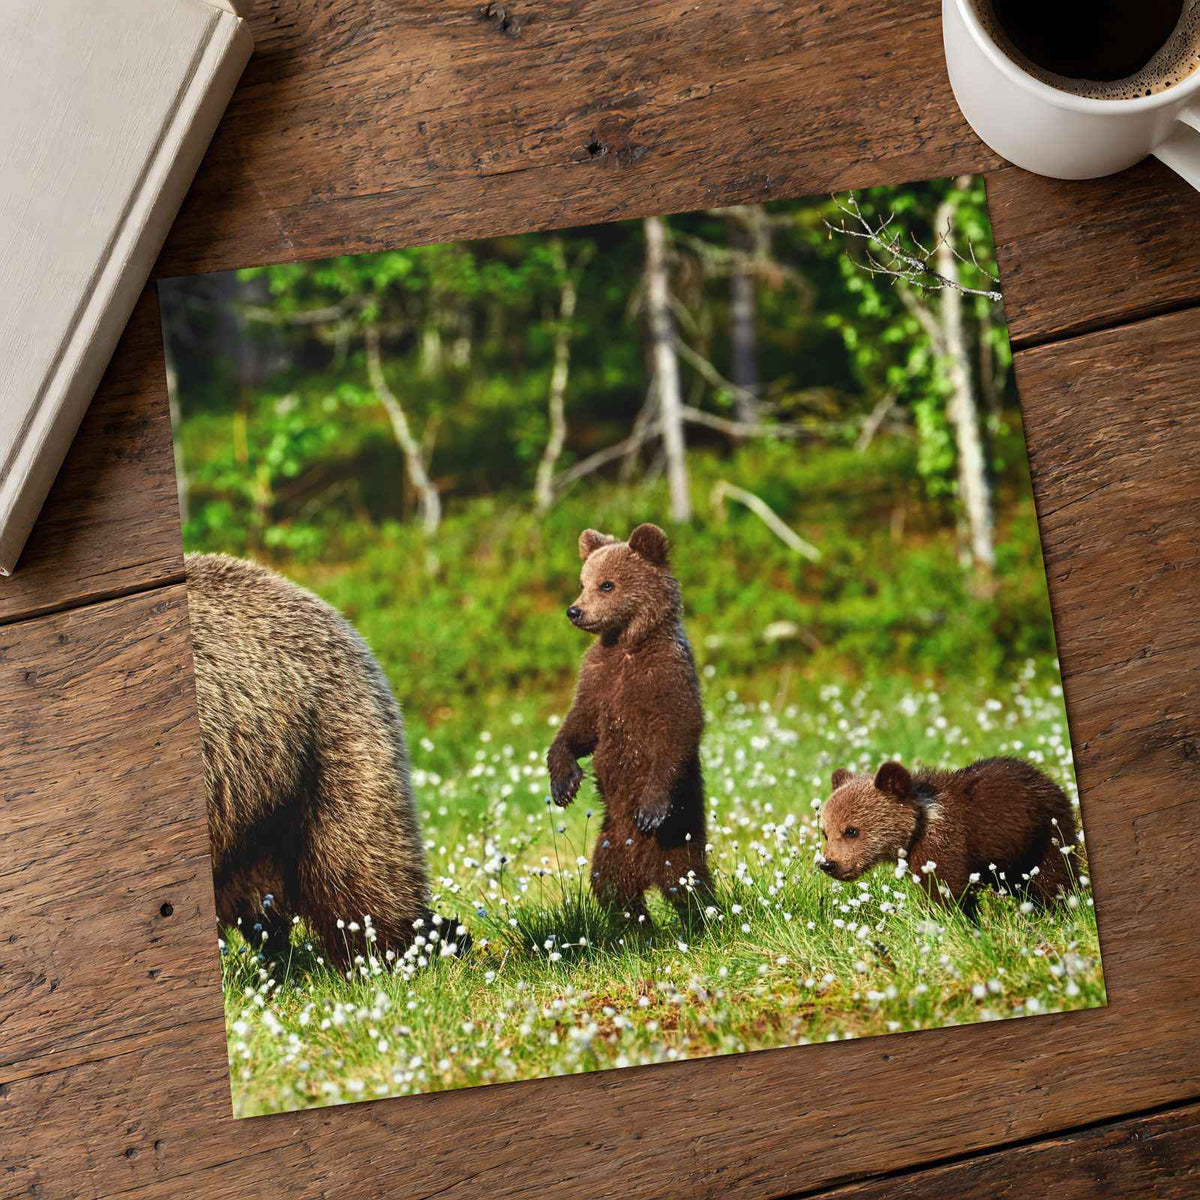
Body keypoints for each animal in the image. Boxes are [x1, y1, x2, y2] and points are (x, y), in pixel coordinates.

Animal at [547, 523, 712, 927]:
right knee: (610, 888)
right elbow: (579, 727)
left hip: (678, 839)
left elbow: (677, 733)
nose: (575, 610)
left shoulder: (666, 678)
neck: (628, 644)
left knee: (689, 884)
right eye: (583, 581)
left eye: (607, 584)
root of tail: (645, 871)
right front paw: (564, 783)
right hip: (609, 845)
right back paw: (637, 926)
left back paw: (703, 921)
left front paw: (650, 808)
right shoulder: (599, 680)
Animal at [818, 757, 1078, 911]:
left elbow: (947, 891)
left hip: (1045, 835)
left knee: (1055, 877)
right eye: (825, 833)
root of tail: (1046, 777)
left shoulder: (944, 847)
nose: (828, 864)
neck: (918, 828)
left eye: (851, 830)